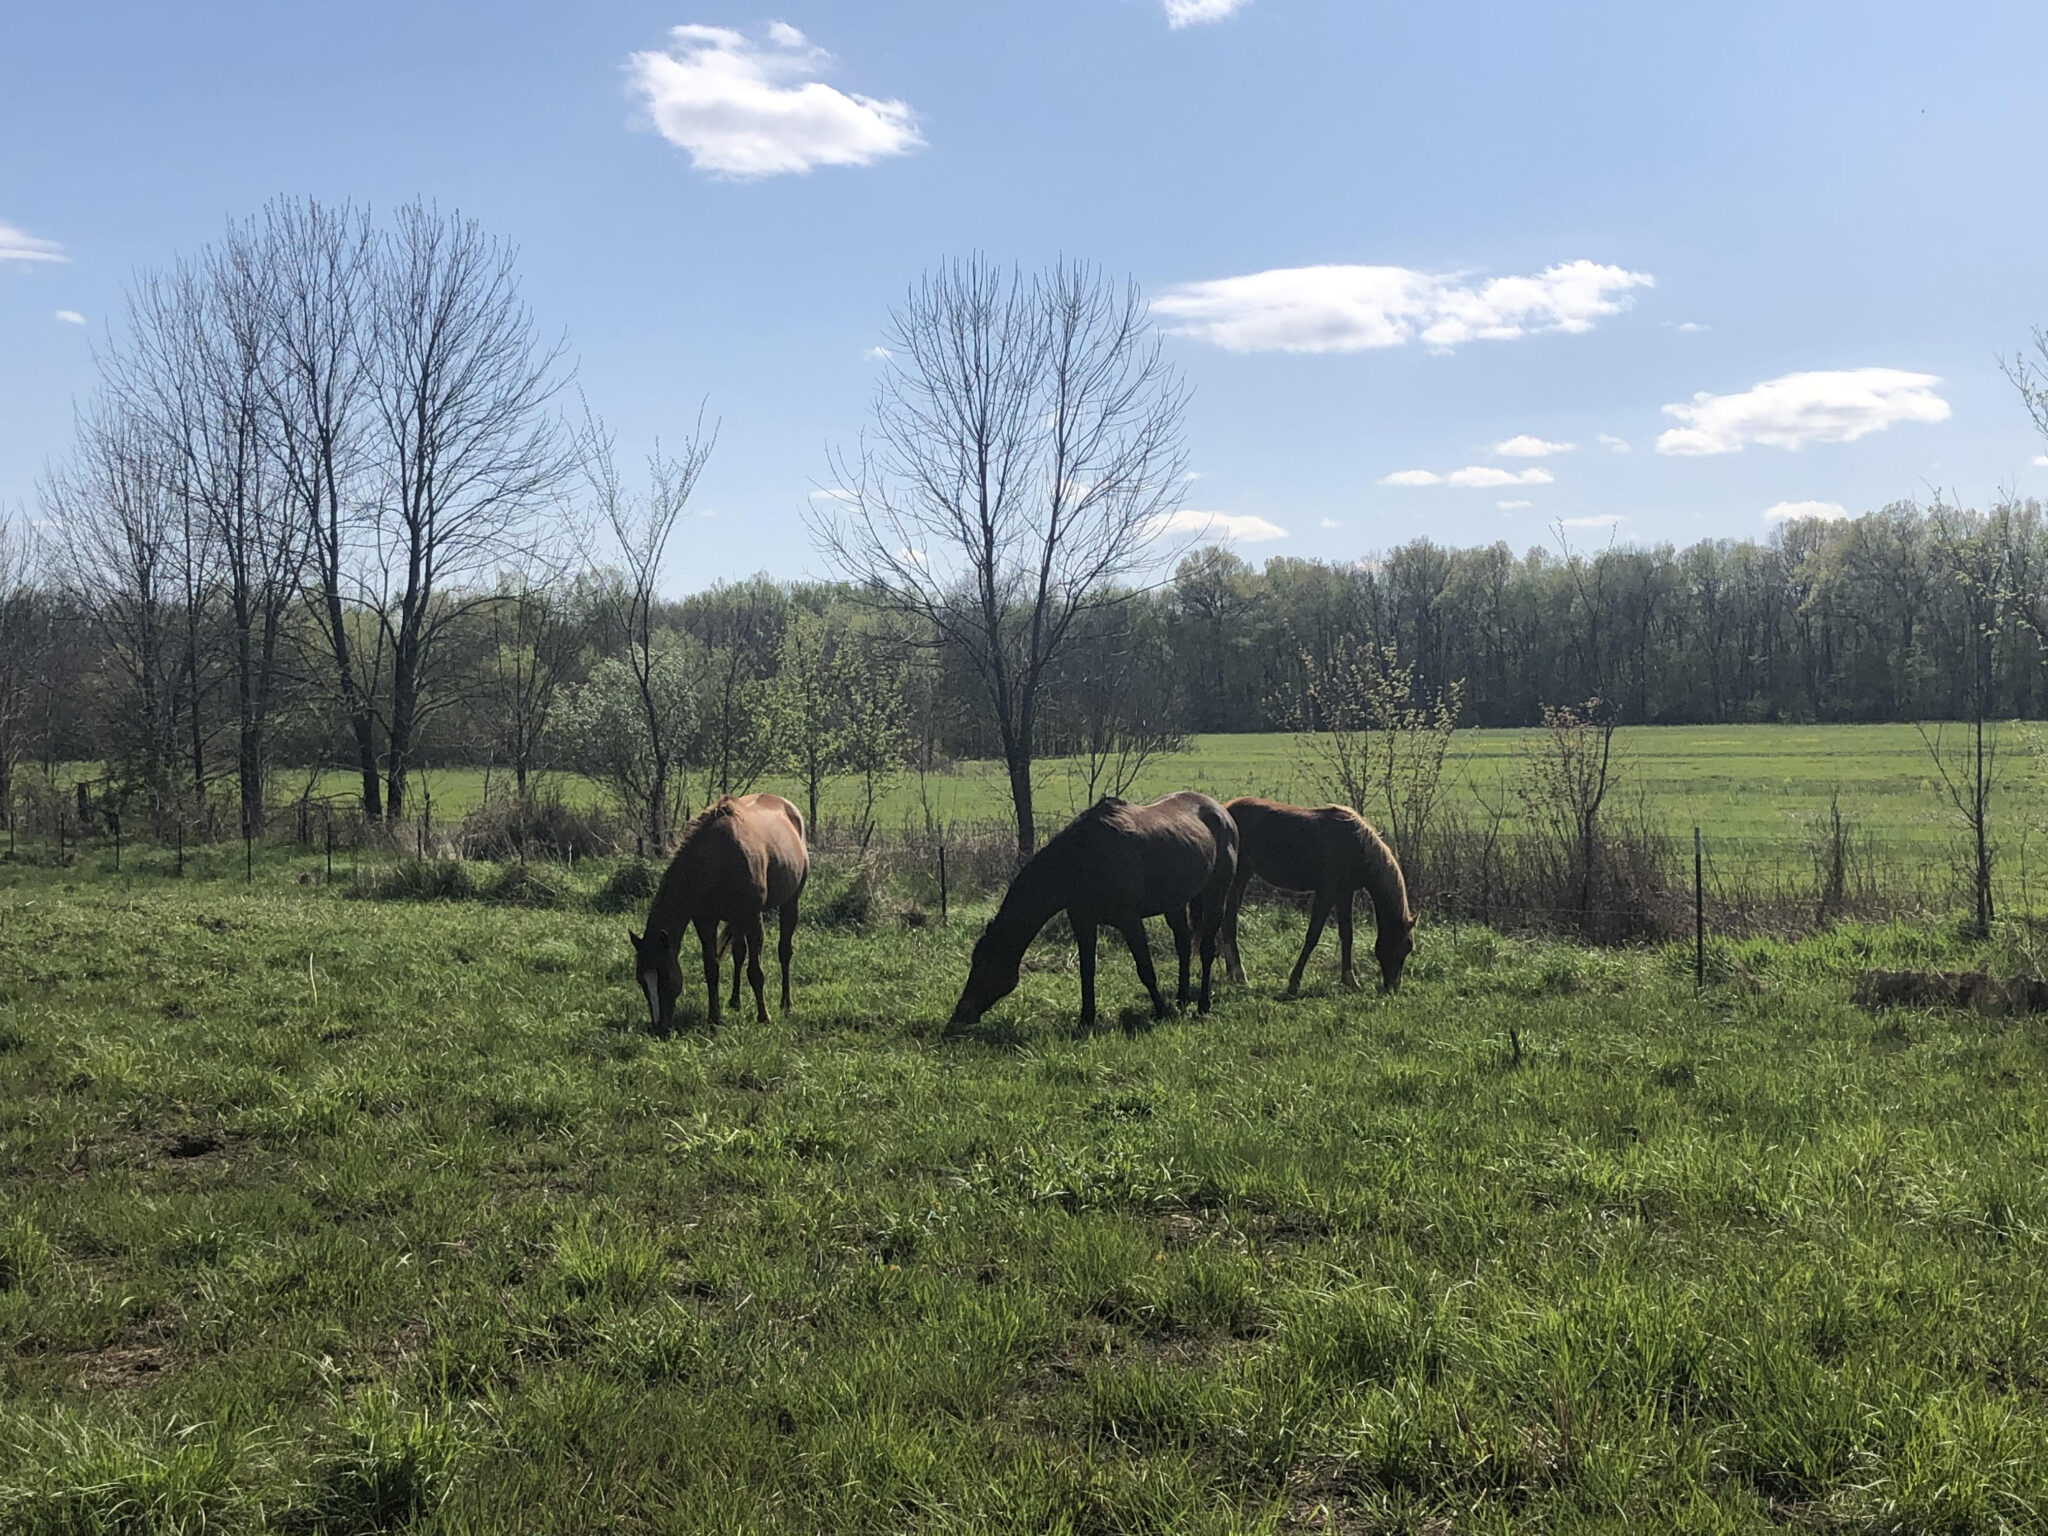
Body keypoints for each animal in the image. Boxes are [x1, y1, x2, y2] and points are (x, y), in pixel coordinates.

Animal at [630, 794, 806, 1036]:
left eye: (665, 974)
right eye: (640, 980)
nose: (659, 1028)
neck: (719, 858)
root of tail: (787, 805)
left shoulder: (752, 917)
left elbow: (755, 971)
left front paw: (763, 1017)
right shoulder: (705, 921)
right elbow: (712, 968)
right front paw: (714, 1018)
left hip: (790, 902)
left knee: (784, 951)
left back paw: (786, 1004)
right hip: (736, 919)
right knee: (739, 953)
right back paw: (735, 1001)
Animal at [942, 794, 1228, 1036]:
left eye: (985, 964)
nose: (960, 1014)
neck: (1083, 859)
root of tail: (1218, 808)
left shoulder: (1129, 920)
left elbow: (1145, 969)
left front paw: (1161, 1011)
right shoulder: (1083, 921)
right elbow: (1087, 970)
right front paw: (1086, 1019)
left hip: (1216, 895)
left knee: (1207, 949)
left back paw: (1202, 1006)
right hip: (1175, 903)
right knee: (1183, 944)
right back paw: (1181, 1000)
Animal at [1212, 798, 1409, 1003]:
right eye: (1403, 947)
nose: (1393, 987)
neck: (1356, 845)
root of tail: (1224, 810)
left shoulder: (1345, 892)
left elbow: (1347, 934)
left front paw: (1350, 980)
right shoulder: (1326, 892)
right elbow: (1313, 935)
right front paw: (1294, 983)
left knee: (1227, 921)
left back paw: (1231, 974)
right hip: (1239, 877)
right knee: (1230, 921)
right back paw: (1239, 974)